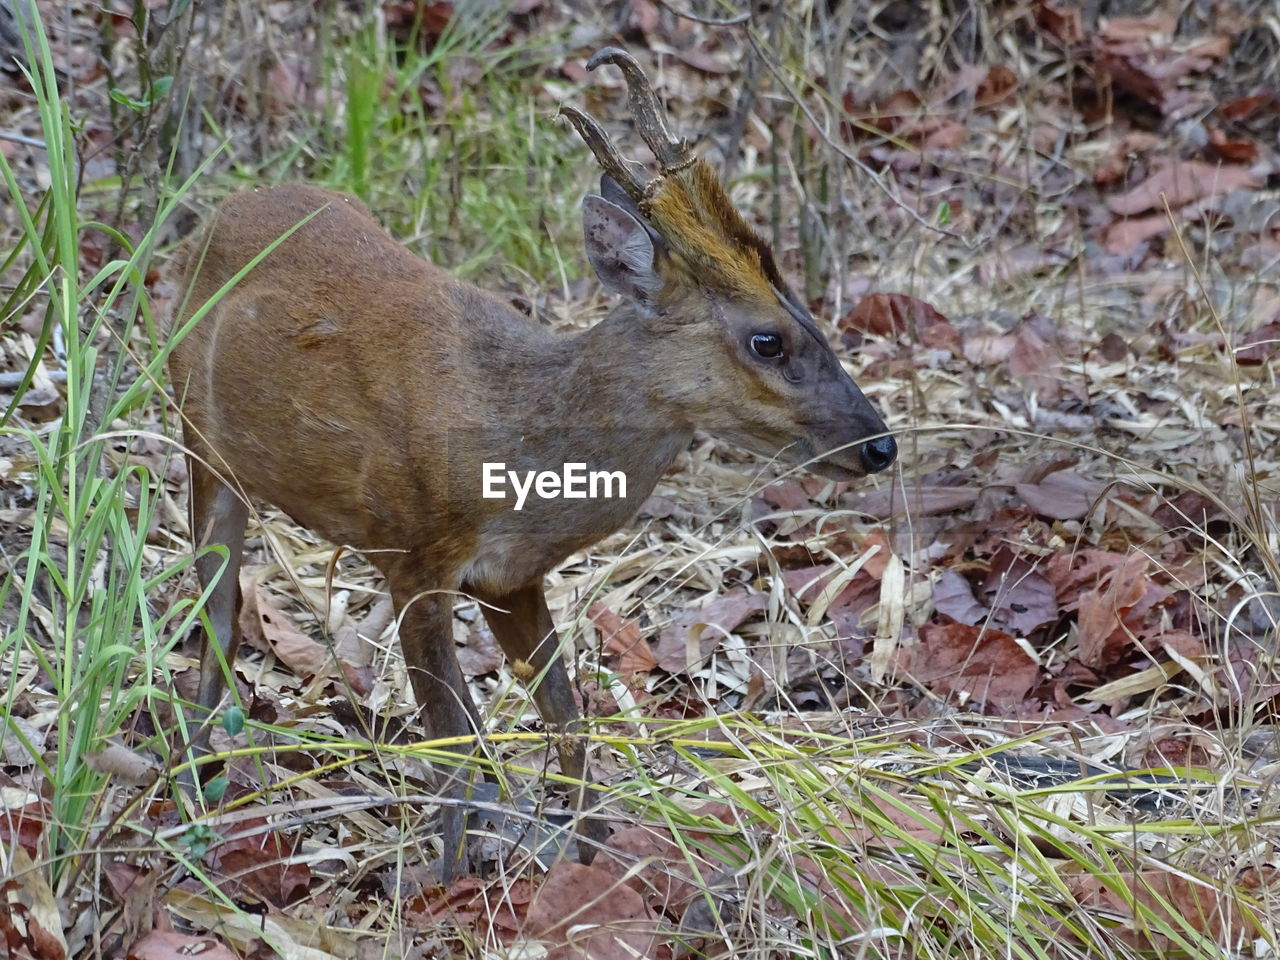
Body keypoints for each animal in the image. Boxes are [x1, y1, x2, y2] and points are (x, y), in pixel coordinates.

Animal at [170, 48, 896, 885]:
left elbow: (567, 720)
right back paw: (189, 795)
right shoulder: (415, 554)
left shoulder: (509, 577)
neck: (519, 443)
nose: (880, 443)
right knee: (218, 617)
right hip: (197, 438)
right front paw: (446, 888)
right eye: (768, 340)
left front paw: (588, 856)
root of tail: (222, 212)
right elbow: (453, 741)